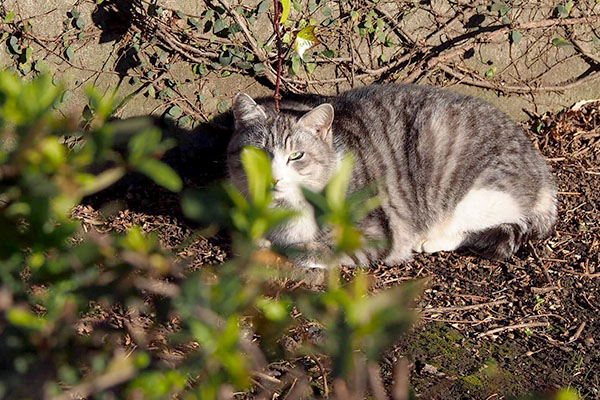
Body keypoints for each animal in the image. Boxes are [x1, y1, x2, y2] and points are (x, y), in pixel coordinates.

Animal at [226, 83, 556, 268]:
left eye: (296, 156)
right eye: (258, 155)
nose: (273, 179)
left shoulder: (377, 232)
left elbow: (313, 250)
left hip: (474, 194)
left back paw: (431, 240)